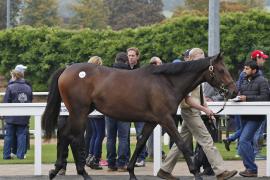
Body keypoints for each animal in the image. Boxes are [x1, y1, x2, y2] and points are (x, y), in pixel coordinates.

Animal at [41, 52, 236, 179]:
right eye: (221, 70)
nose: (233, 91)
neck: (166, 82)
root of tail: (67, 70)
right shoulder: (166, 119)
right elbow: (181, 144)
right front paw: (196, 173)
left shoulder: (152, 121)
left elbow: (141, 142)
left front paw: (131, 172)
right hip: (79, 111)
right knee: (73, 137)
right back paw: (82, 173)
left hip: (81, 111)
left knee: (64, 134)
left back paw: (55, 170)